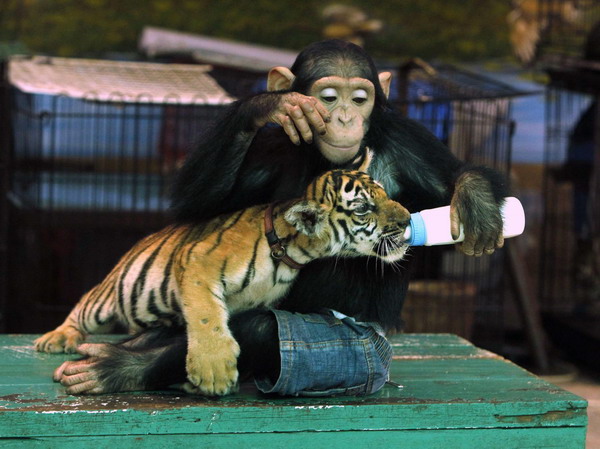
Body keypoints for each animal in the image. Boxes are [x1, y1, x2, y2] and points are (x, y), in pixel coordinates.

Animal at [55, 40, 506, 394]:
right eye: (329, 97)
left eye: (360, 98)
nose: (346, 118)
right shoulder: (262, 154)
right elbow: (197, 207)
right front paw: (271, 104)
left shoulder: (408, 141)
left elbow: (453, 175)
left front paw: (477, 205)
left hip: (364, 352)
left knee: (261, 329)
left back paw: (119, 365)